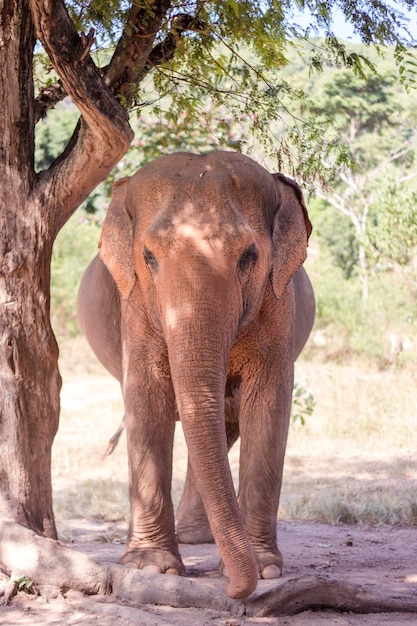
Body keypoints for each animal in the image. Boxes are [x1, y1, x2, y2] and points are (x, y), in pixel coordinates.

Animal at [77, 149, 312, 596]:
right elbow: (145, 397)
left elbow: (267, 404)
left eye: (249, 256)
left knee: (225, 422)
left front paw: (265, 570)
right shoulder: (134, 305)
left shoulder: (279, 302)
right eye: (149, 257)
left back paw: (196, 539)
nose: (232, 586)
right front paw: (151, 568)